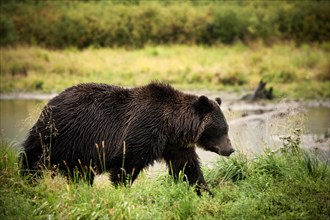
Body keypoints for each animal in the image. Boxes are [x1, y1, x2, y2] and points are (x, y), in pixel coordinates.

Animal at [19, 82, 235, 194]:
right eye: (222, 130)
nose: (230, 149)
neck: (172, 127)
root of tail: (50, 102)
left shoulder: (174, 145)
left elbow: (188, 168)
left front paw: (205, 192)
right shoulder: (143, 130)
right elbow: (127, 164)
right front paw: (122, 190)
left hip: (76, 149)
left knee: (79, 172)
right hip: (59, 135)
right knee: (34, 158)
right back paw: (27, 180)